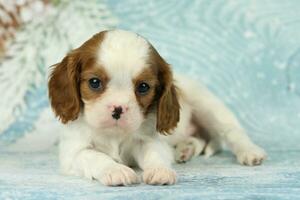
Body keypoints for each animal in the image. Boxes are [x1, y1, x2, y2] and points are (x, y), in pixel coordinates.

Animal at [48, 29, 266, 186]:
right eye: (94, 82)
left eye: (143, 87)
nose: (118, 109)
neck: (115, 134)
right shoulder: (72, 152)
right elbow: (94, 156)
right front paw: (116, 170)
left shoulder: (148, 140)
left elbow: (154, 153)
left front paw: (160, 171)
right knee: (200, 139)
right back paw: (185, 150)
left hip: (208, 107)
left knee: (232, 132)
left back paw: (250, 152)